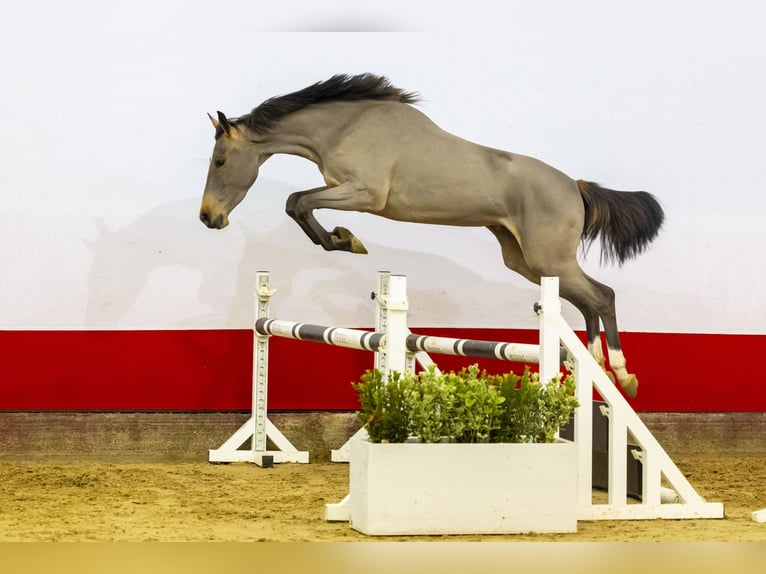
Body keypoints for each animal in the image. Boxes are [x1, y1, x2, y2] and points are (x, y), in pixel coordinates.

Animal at [200, 73, 664, 400]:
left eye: (220, 161)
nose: (208, 217)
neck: (345, 126)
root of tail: (574, 186)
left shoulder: (363, 194)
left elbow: (297, 201)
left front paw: (345, 240)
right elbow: (298, 203)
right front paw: (342, 239)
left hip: (548, 260)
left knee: (603, 296)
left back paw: (624, 375)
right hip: (527, 262)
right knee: (589, 301)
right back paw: (599, 365)